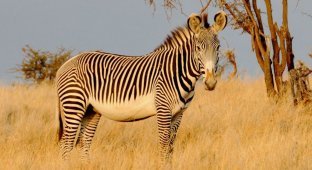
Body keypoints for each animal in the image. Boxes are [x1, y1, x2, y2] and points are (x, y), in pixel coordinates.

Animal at [55, 10, 227, 163]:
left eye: (218, 47)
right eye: (198, 48)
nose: (210, 83)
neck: (177, 71)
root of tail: (67, 62)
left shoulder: (179, 114)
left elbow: (171, 148)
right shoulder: (163, 109)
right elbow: (164, 146)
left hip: (91, 111)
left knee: (83, 144)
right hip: (74, 105)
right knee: (66, 145)